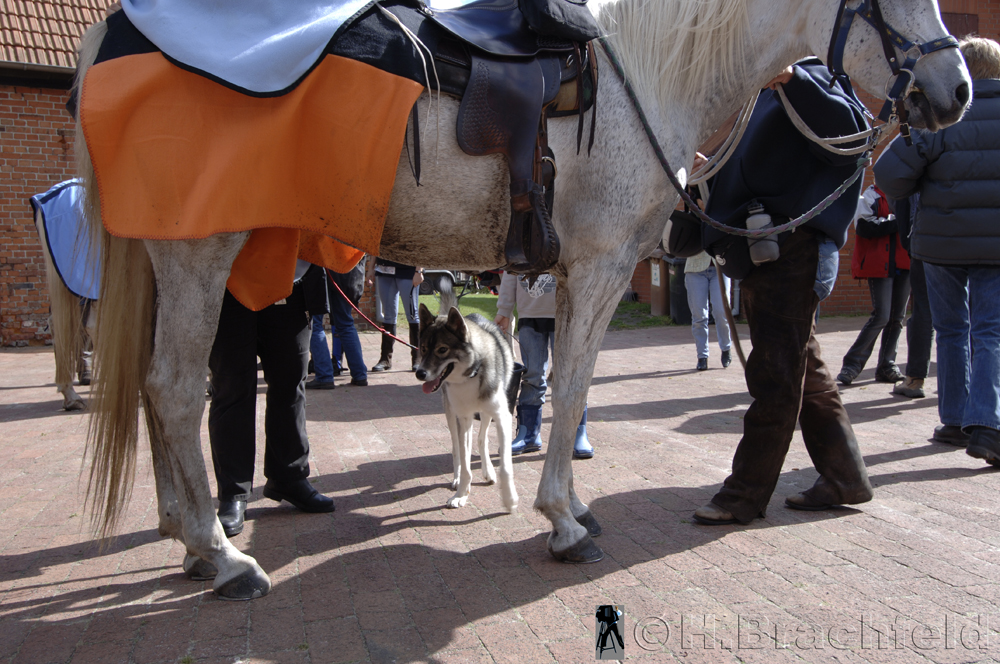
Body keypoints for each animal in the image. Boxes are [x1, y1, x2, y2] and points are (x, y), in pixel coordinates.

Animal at [412, 298, 516, 510]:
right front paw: (461, 494)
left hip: (486, 414)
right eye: (423, 349)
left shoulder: (503, 417)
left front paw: (509, 498)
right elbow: (466, 463)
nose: (419, 373)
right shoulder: (464, 419)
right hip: (452, 416)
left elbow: (505, 465)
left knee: (482, 440)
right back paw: (458, 478)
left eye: (442, 349)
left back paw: (488, 471)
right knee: (457, 450)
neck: (471, 375)